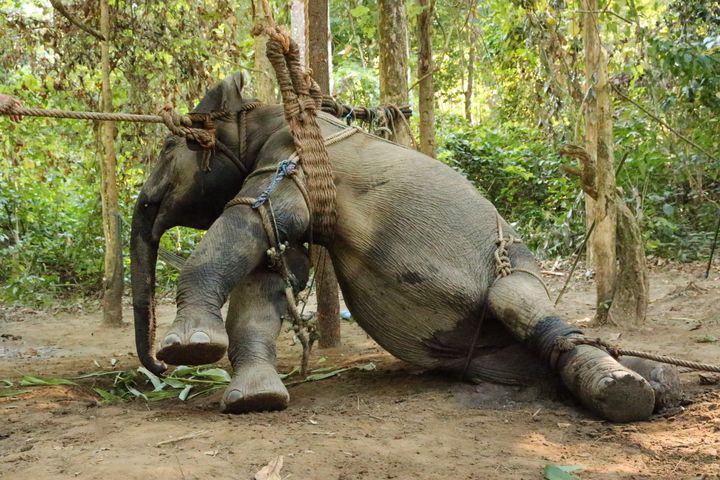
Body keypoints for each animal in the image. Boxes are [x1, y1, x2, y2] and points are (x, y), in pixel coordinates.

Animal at [131, 73, 680, 422]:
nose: (158, 372)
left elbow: (247, 226)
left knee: (517, 301)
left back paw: (626, 393)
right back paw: (658, 385)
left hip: (517, 265)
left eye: (168, 147)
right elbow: (268, 273)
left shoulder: (290, 163)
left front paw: (188, 349)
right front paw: (255, 400)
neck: (268, 111)